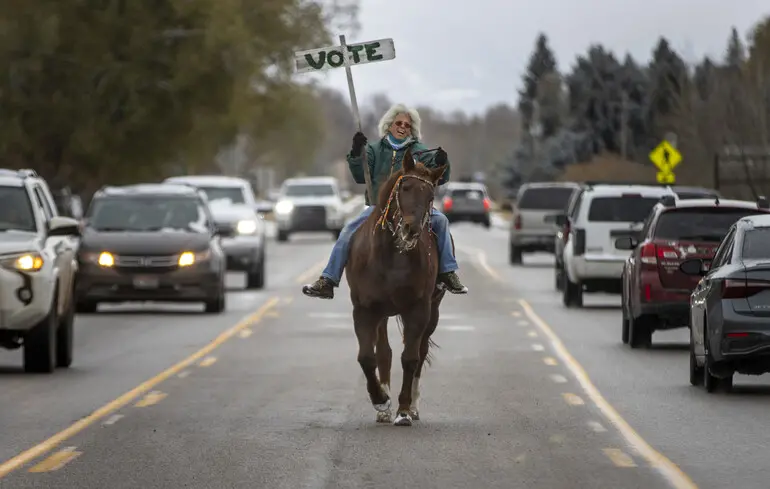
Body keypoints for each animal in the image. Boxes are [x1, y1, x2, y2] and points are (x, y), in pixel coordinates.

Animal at [344, 147, 448, 426]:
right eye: (406, 187)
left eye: (431, 195)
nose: (411, 229)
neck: (393, 256)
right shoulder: (365, 309)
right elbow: (367, 357)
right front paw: (381, 400)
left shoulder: (419, 309)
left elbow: (411, 358)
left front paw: (403, 410)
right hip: (382, 314)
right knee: (385, 353)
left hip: (433, 311)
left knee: (420, 351)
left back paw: (412, 406)